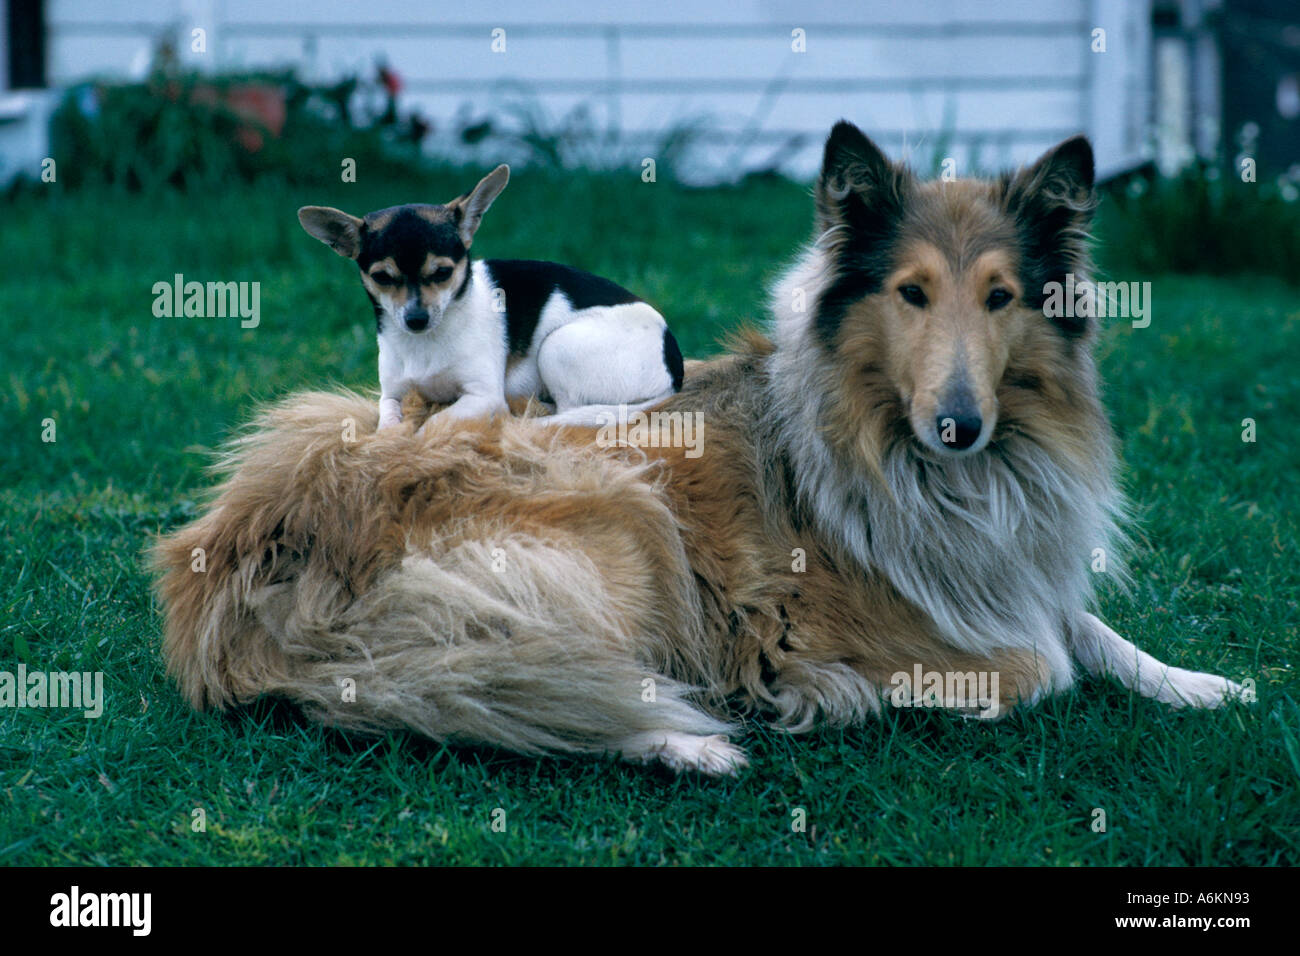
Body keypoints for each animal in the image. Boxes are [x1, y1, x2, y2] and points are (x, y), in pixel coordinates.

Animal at [299, 167, 686, 429]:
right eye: (382, 277)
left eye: (442, 272)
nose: (416, 319)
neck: (427, 342)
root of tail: (674, 374)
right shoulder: (391, 395)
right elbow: (388, 421)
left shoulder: (482, 397)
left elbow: (435, 423)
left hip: (558, 347)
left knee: (569, 410)